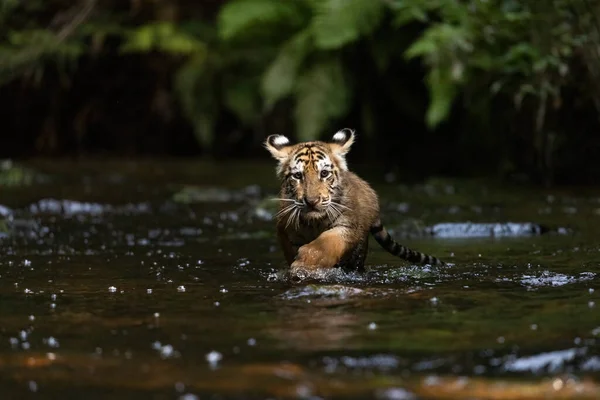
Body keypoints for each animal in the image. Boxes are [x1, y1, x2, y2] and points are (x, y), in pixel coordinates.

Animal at [264, 128, 446, 278]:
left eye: (324, 173)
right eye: (297, 176)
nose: (312, 201)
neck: (314, 222)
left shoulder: (348, 227)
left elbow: (328, 242)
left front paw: (306, 263)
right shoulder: (286, 230)